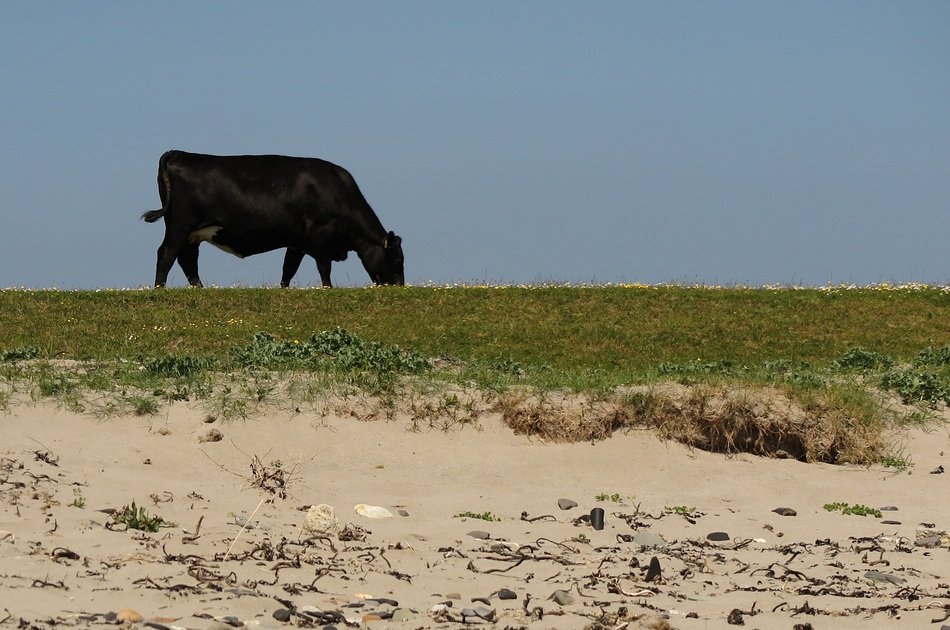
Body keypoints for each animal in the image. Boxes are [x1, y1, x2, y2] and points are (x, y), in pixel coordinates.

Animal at [141, 150, 405, 288]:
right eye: (397, 259)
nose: (400, 286)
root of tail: (179, 154)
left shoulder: (297, 242)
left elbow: (288, 269)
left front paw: (284, 289)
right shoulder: (320, 238)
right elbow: (324, 268)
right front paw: (328, 289)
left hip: (192, 232)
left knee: (187, 259)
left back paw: (201, 288)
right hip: (180, 224)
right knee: (167, 254)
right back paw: (159, 288)